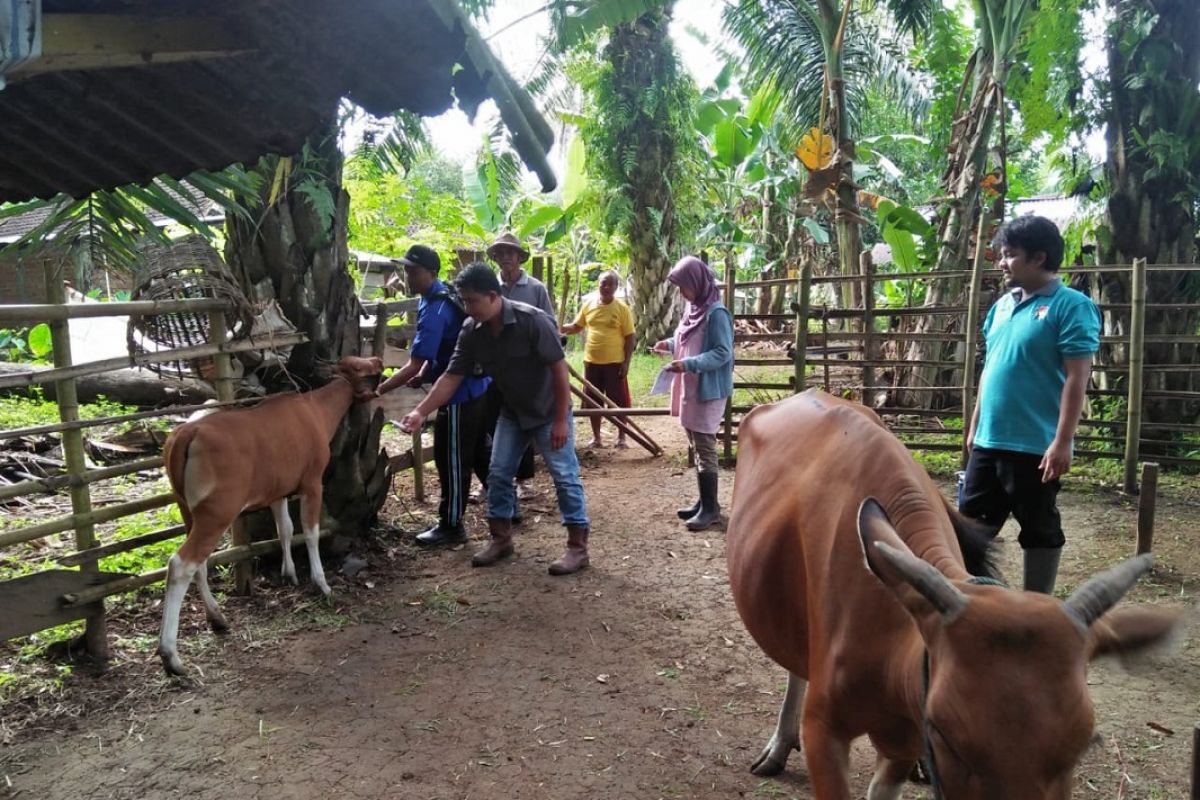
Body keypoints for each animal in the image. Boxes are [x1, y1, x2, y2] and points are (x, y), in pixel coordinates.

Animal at [156, 357, 379, 676]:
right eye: (360, 368)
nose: (379, 361)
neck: (316, 411)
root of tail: (184, 435)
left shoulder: (278, 492)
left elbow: (284, 528)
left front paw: (289, 573)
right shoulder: (312, 482)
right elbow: (310, 531)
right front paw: (321, 583)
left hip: (187, 508)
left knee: (198, 563)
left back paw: (217, 618)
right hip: (218, 512)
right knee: (180, 564)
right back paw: (171, 655)